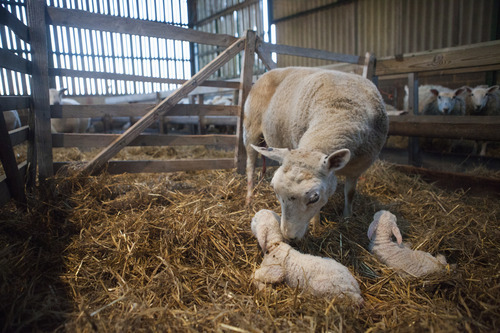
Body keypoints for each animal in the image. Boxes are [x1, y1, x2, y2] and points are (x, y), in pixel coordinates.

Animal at [244, 67, 388, 239]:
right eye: (275, 191)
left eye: (314, 197)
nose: (288, 237)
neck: (337, 114)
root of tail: (267, 73)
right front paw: (317, 226)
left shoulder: (358, 167)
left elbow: (350, 193)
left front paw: (347, 218)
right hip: (251, 129)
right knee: (250, 166)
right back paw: (249, 197)